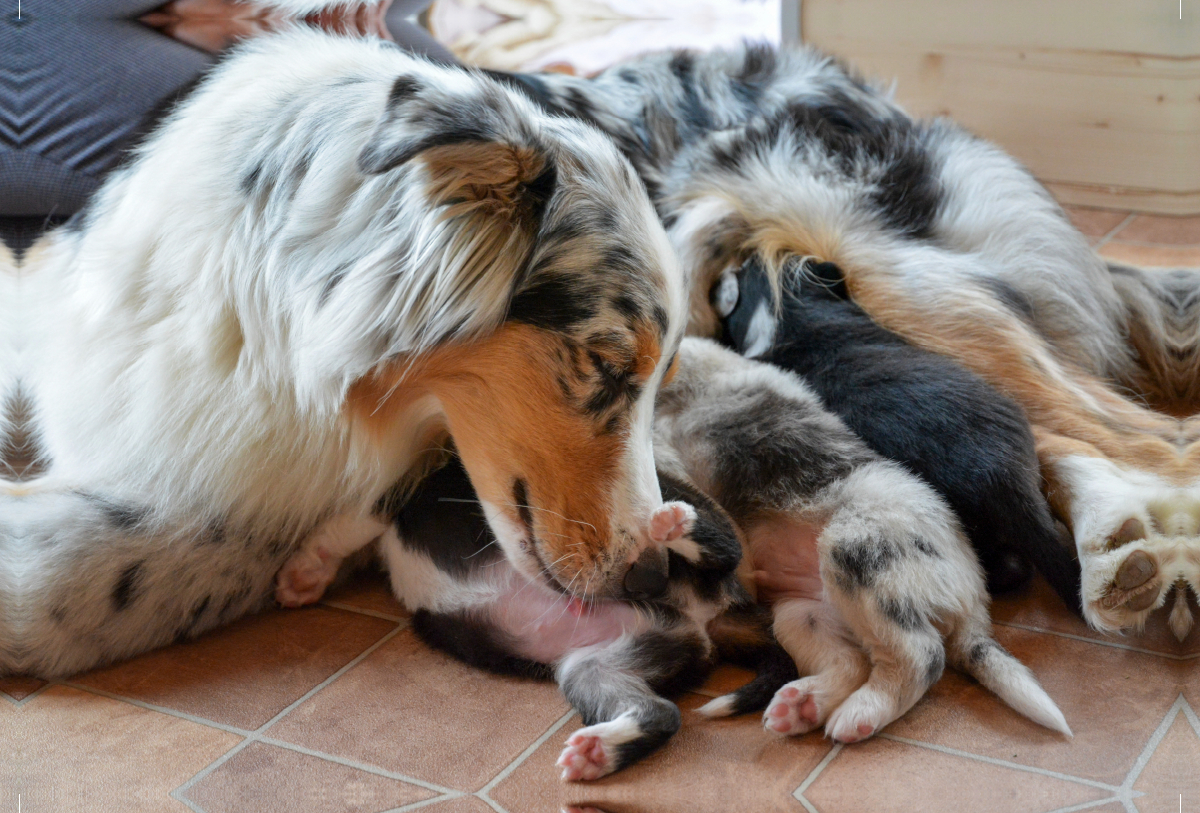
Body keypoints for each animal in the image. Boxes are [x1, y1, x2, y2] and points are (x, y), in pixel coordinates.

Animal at [278, 335, 1070, 753]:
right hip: (776, 620)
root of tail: (973, 596)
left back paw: (854, 712)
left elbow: (359, 513)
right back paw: (795, 704)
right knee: (831, 660)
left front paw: (304, 570)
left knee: (915, 656)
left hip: (857, 551)